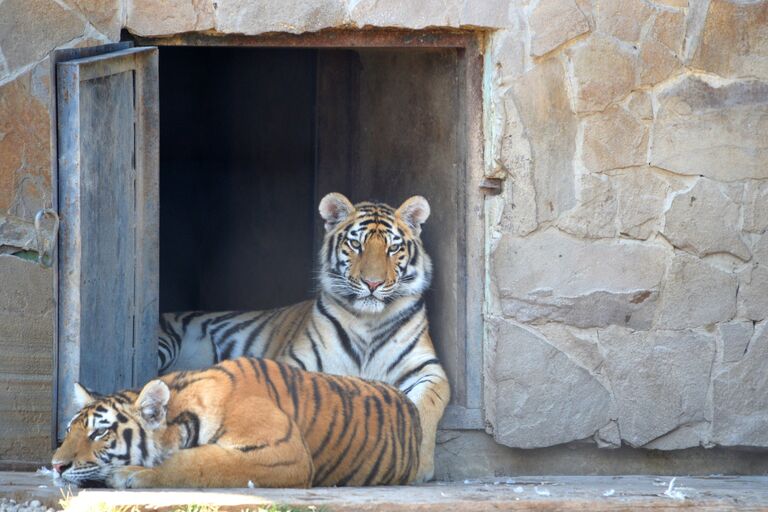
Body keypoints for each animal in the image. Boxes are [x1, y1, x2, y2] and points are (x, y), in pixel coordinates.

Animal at [51, 356, 424, 488]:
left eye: (100, 433)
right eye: (69, 431)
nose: (55, 466)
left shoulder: (283, 452)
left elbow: (201, 462)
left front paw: (132, 475)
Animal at [160, 193, 450, 484]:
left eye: (393, 248)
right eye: (356, 244)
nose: (373, 284)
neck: (368, 320)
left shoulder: (428, 369)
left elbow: (425, 407)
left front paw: (420, 465)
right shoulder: (297, 363)